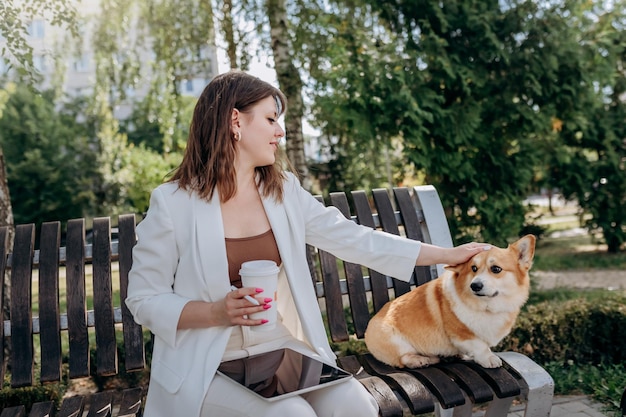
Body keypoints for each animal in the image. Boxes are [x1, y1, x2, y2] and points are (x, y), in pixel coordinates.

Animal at [364, 234, 532, 368]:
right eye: (473, 268)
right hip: (394, 339)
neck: (487, 307)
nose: (475, 285)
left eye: (496, 269)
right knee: (403, 358)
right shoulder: (462, 334)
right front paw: (489, 358)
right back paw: (422, 360)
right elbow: (480, 346)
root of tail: (366, 331)